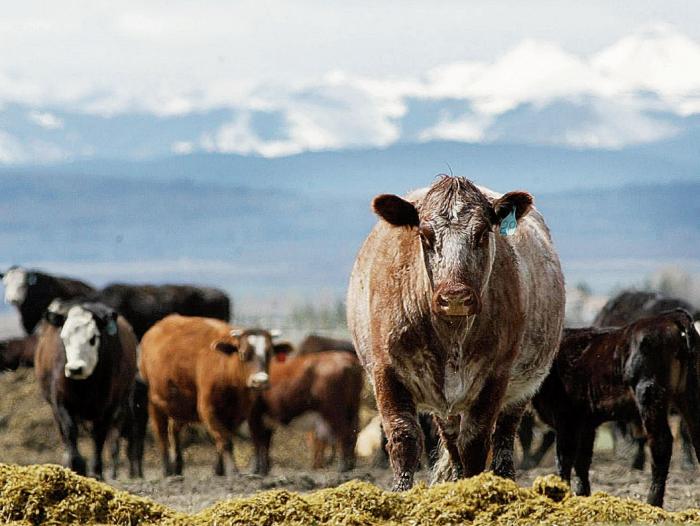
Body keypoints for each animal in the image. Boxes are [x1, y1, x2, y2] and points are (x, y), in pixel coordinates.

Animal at [35, 304, 138, 480]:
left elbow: (99, 436)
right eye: (64, 338)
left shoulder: (108, 407)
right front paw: (76, 464)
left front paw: (97, 471)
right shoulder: (60, 401)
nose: (75, 368)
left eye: (93, 338)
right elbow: (70, 430)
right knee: (63, 432)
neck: (85, 384)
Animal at [139, 316, 284, 480]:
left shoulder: (237, 413)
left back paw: (177, 466)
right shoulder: (207, 409)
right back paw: (167, 470)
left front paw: (219, 470)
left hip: (180, 406)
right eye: (243, 353)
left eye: (269, 353)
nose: (260, 381)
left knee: (173, 431)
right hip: (155, 402)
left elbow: (222, 440)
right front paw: (232, 471)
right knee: (161, 435)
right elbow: (226, 440)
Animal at [348, 176, 568, 490]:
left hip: (522, 389)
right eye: (425, 235)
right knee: (451, 441)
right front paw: (402, 492)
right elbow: (404, 438)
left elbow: (476, 441)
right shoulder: (385, 372)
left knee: (503, 439)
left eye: (482, 233)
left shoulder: (495, 376)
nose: (455, 296)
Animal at [532, 312, 700, 510]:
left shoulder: (566, 419)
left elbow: (564, 458)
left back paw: (653, 502)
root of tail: (673, 316)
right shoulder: (586, 423)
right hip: (690, 393)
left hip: (649, 394)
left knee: (661, 444)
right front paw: (583, 495)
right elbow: (582, 460)